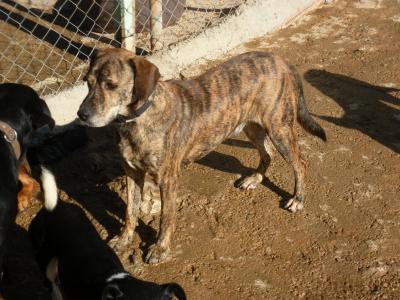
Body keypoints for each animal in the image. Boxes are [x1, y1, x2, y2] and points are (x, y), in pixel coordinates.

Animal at [77, 48, 324, 264]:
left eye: (111, 85)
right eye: (87, 82)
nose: (81, 114)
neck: (138, 119)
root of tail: (280, 59)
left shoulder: (167, 179)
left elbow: (166, 218)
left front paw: (161, 249)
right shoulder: (132, 173)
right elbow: (130, 211)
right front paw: (124, 239)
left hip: (279, 128)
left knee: (300, 163)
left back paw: (298, 198)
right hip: (252, 127)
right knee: (267, 154)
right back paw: (255, 178)